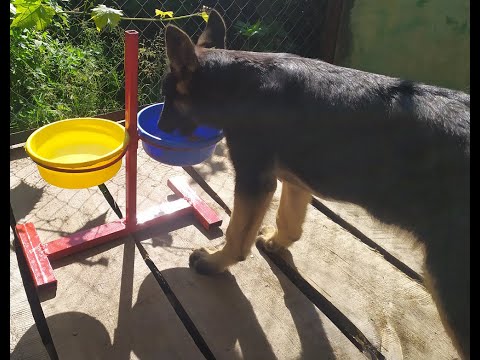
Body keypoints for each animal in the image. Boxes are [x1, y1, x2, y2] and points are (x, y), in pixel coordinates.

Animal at [157, 9, 468, 358]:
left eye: (168, 97)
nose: (160, 127)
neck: (235, 84)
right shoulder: (294, 179)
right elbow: (290, 222)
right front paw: (276, 241)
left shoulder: (254, 178)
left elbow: (237, 236)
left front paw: (214, 262)